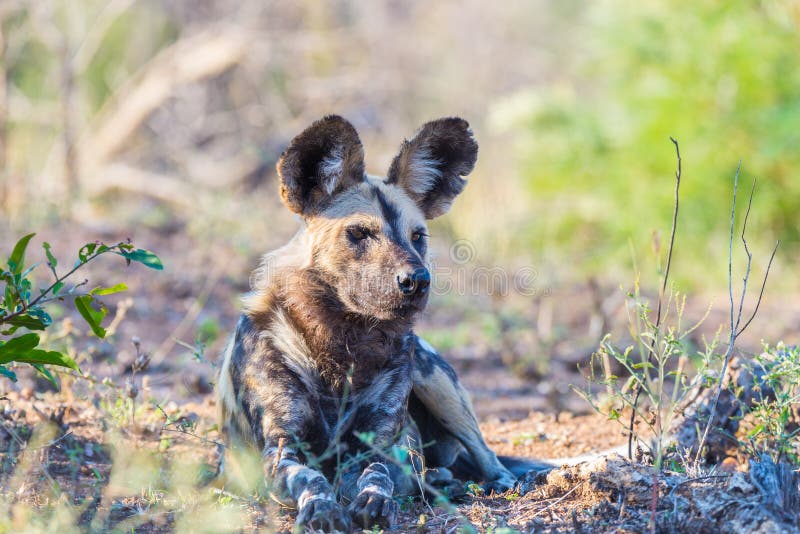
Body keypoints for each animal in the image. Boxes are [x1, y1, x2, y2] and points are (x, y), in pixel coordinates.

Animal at [216, 116, 536, 532]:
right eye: (359, 233)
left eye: (418, 236)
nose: (417, 280)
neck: (342, 343)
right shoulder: (281, 449)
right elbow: (309, 476)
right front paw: (322, 507)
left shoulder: (385, 444)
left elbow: (378, 472)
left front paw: (375, 499)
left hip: (434, 380)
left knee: (487, 456)